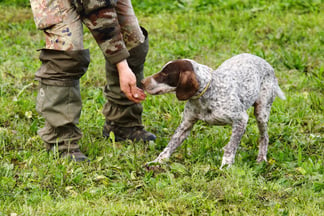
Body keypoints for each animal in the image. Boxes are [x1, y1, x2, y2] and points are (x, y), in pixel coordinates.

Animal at [142, 53, 286, 168]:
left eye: (165, 74)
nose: (142, 82)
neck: (207, 93)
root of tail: (265, 62)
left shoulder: (241, 119)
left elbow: (231, 148)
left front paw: (226, 166)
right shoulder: (186, 124)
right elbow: (170, 145)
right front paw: (157, 161)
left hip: (261, 112)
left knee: (264, 137)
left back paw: (261, 158)